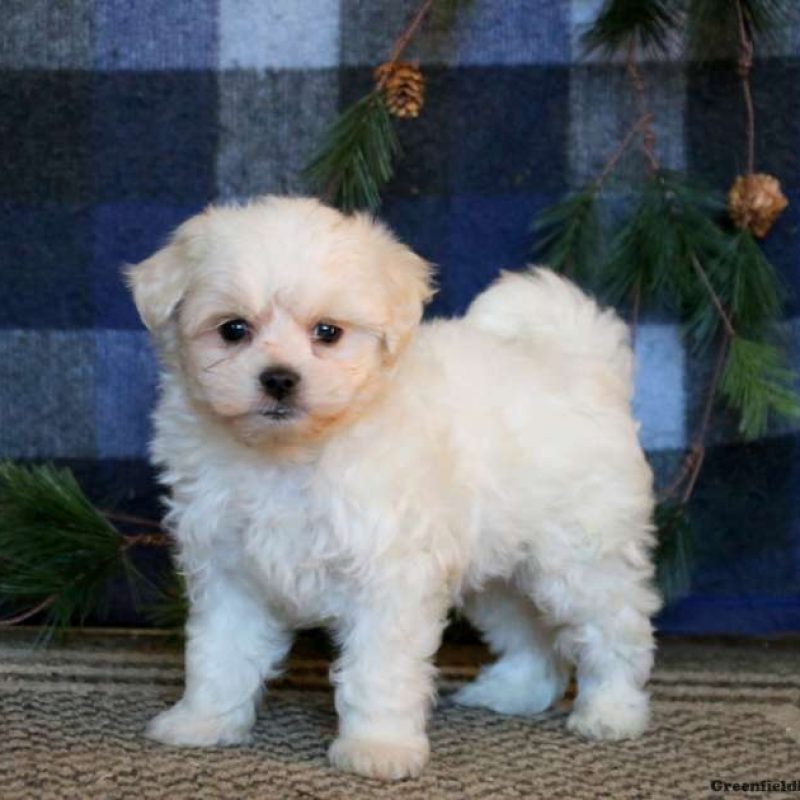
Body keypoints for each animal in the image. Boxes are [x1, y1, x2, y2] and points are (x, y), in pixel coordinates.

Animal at [128, 197, 660, 780]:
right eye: (233, 329)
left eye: (328, 332)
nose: (279, 378)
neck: (288, 455)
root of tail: (580, 366)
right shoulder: (230, 570)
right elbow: (218, 652)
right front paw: (201, 722)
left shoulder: (388, 576)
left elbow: (377, 669)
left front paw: (377, 747)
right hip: (498, 568)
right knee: (530, 633)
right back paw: (513, 692)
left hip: (580, 557)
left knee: (615, 630)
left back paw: (612, 711)